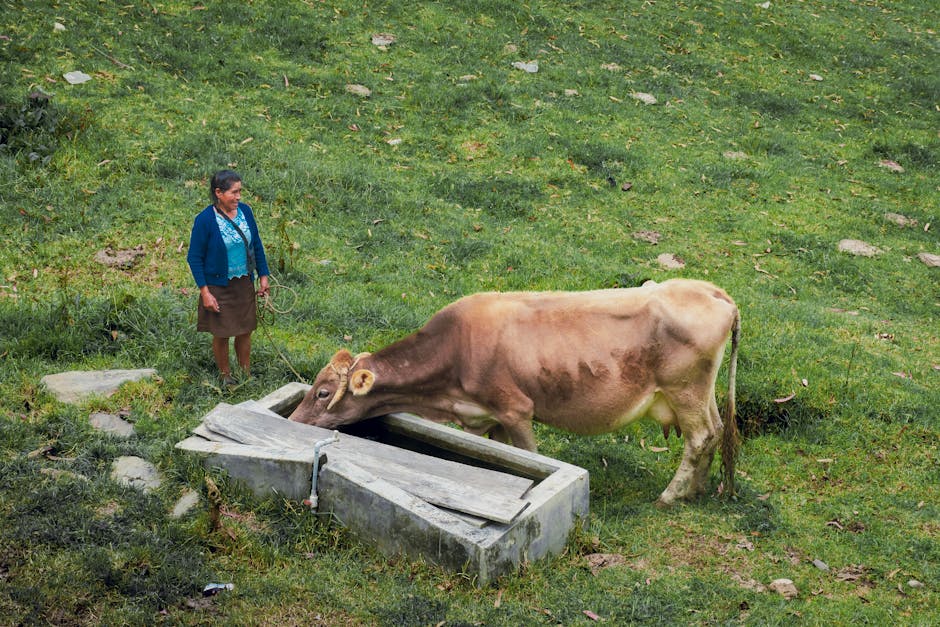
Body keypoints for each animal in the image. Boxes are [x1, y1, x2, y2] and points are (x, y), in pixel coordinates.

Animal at [289, 278, 741, 506]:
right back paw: (695, 490)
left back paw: (669, 496)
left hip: (684, 389)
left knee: (699, 437)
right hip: (701, 392)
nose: (292, 420)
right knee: (715, 432)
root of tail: (712, 291)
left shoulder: (516, 409)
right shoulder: (482, 418)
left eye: (324, 392)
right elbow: (495, 457)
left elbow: (528, 457)